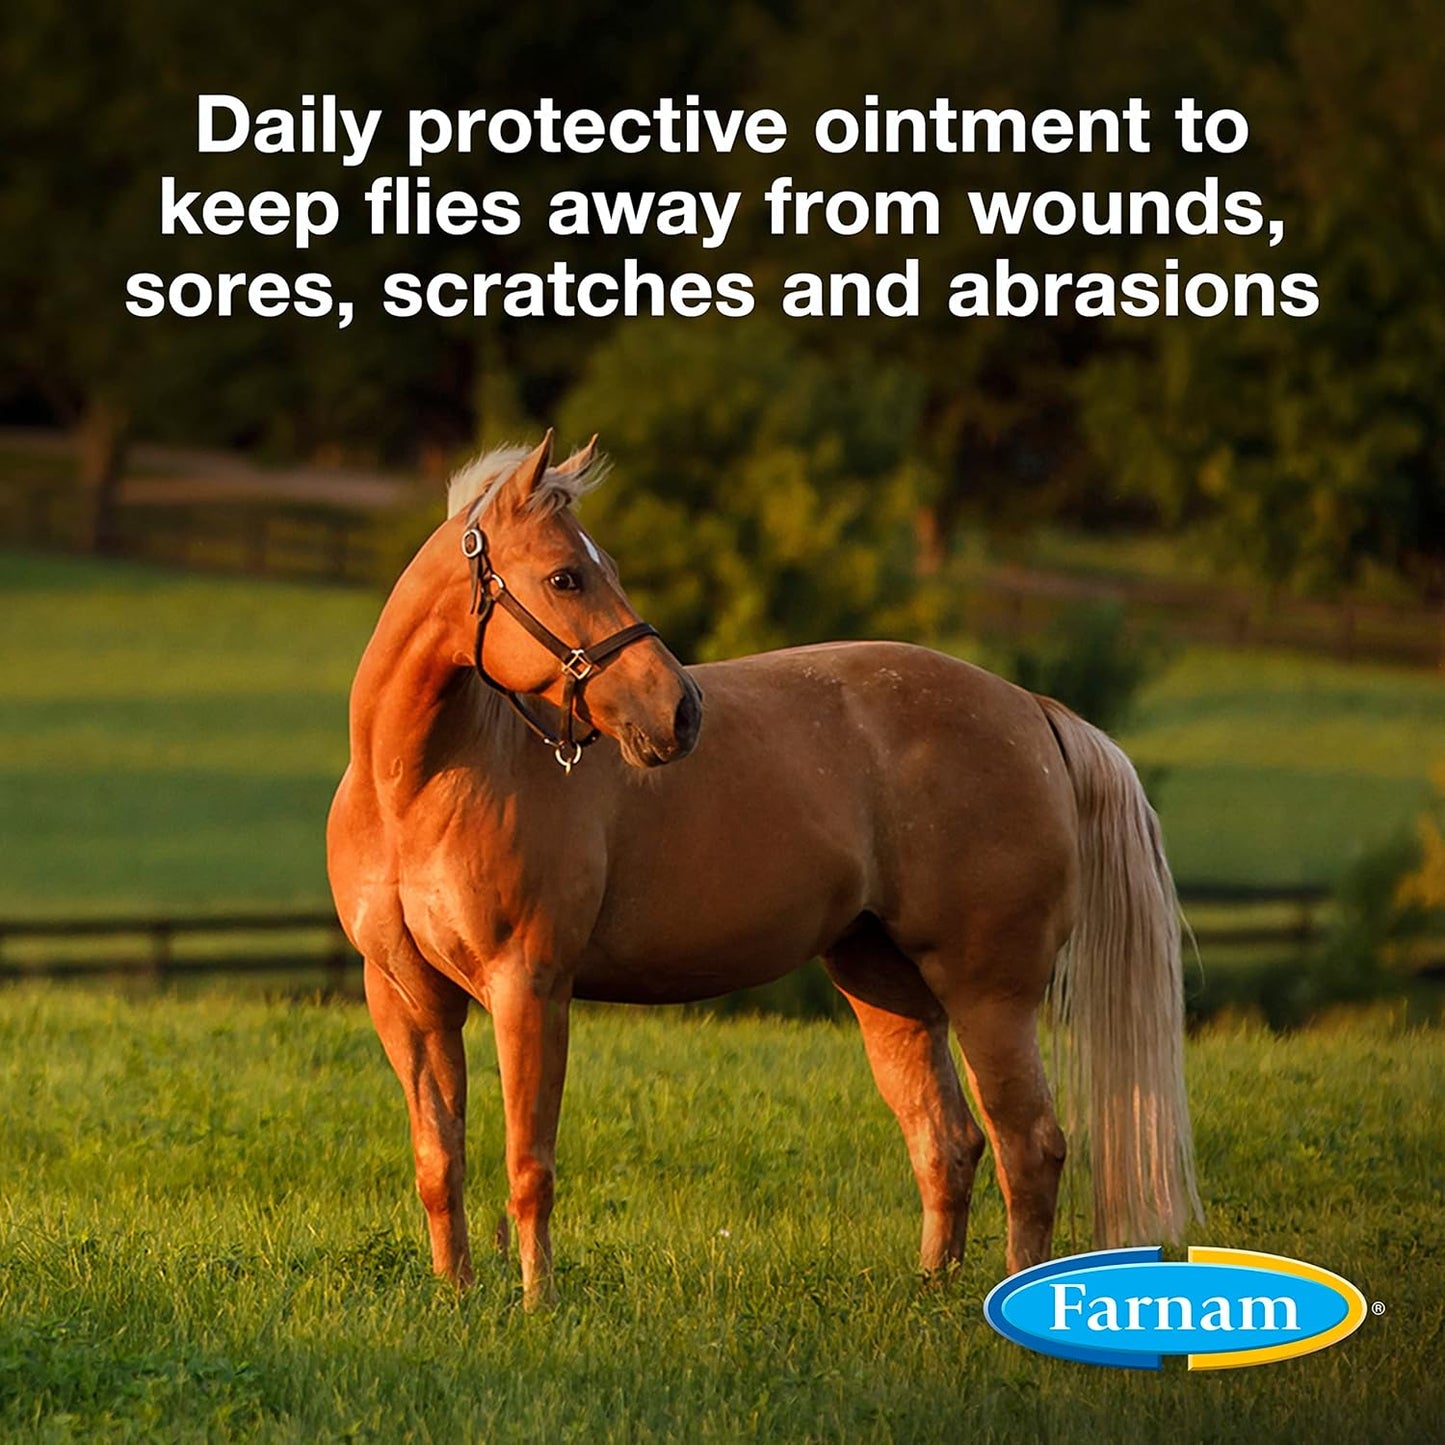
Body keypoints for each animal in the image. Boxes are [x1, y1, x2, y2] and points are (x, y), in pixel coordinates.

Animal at [327, 432, 1200, 1309]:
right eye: (566, 575)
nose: (679, 711)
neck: (420, 783)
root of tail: (1030, 709)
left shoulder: (529, 984)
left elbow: (527, 1163)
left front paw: (538, 1304)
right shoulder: (407, 1000)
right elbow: (439, 1160)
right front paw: (456, 1295)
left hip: (989, 991)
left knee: (1030, 1145)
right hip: (884, 983)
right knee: (946, 1138)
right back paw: (931, 1285)